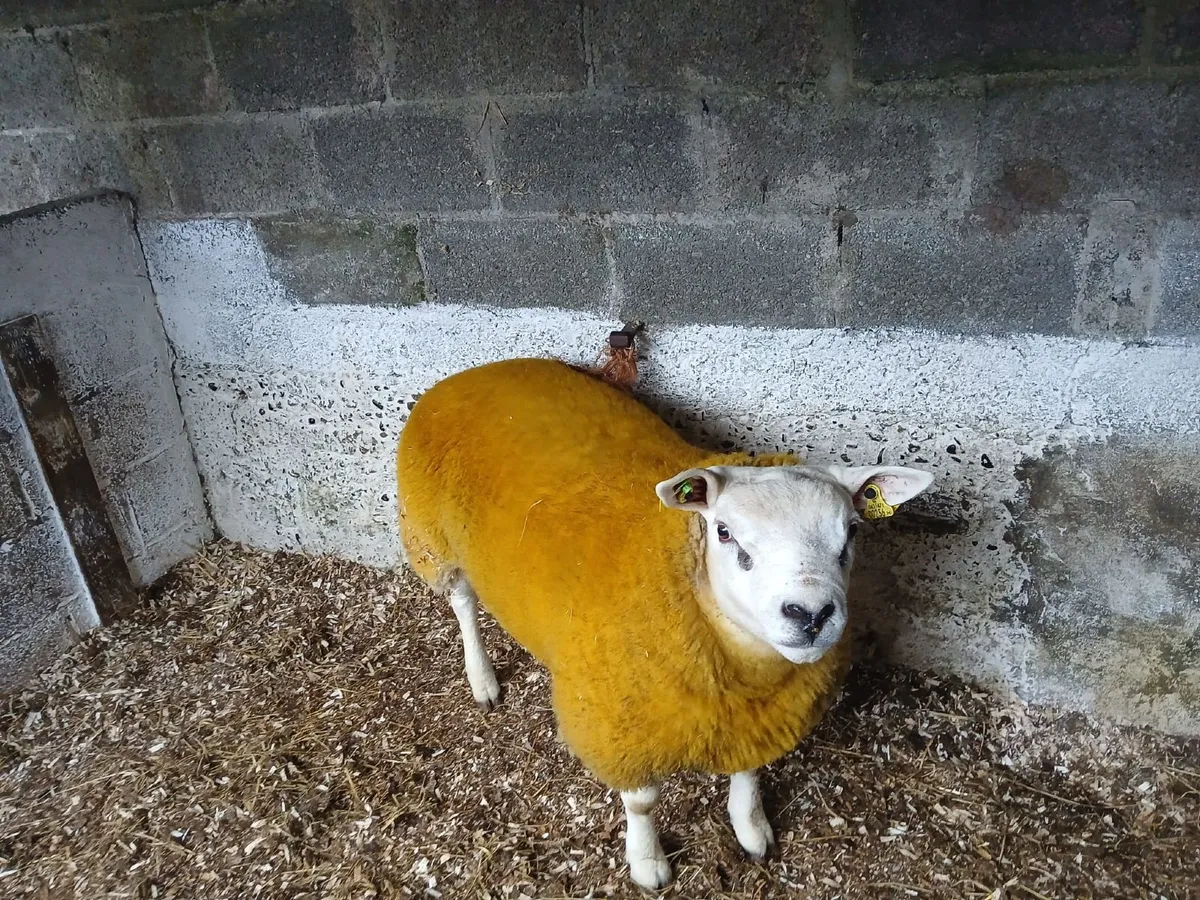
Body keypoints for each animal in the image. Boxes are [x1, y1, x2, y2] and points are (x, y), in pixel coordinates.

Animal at [396, 356, 934, 889]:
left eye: (853, 532)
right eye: (724, 532)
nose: (811, 614)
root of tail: (476, 371)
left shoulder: (758, 719)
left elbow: (749, 772)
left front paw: (751, 829)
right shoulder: (620, 726)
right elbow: (642, 803)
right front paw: (647, 861)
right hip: (432, 538)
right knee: (463, 603)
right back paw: (482, 679)